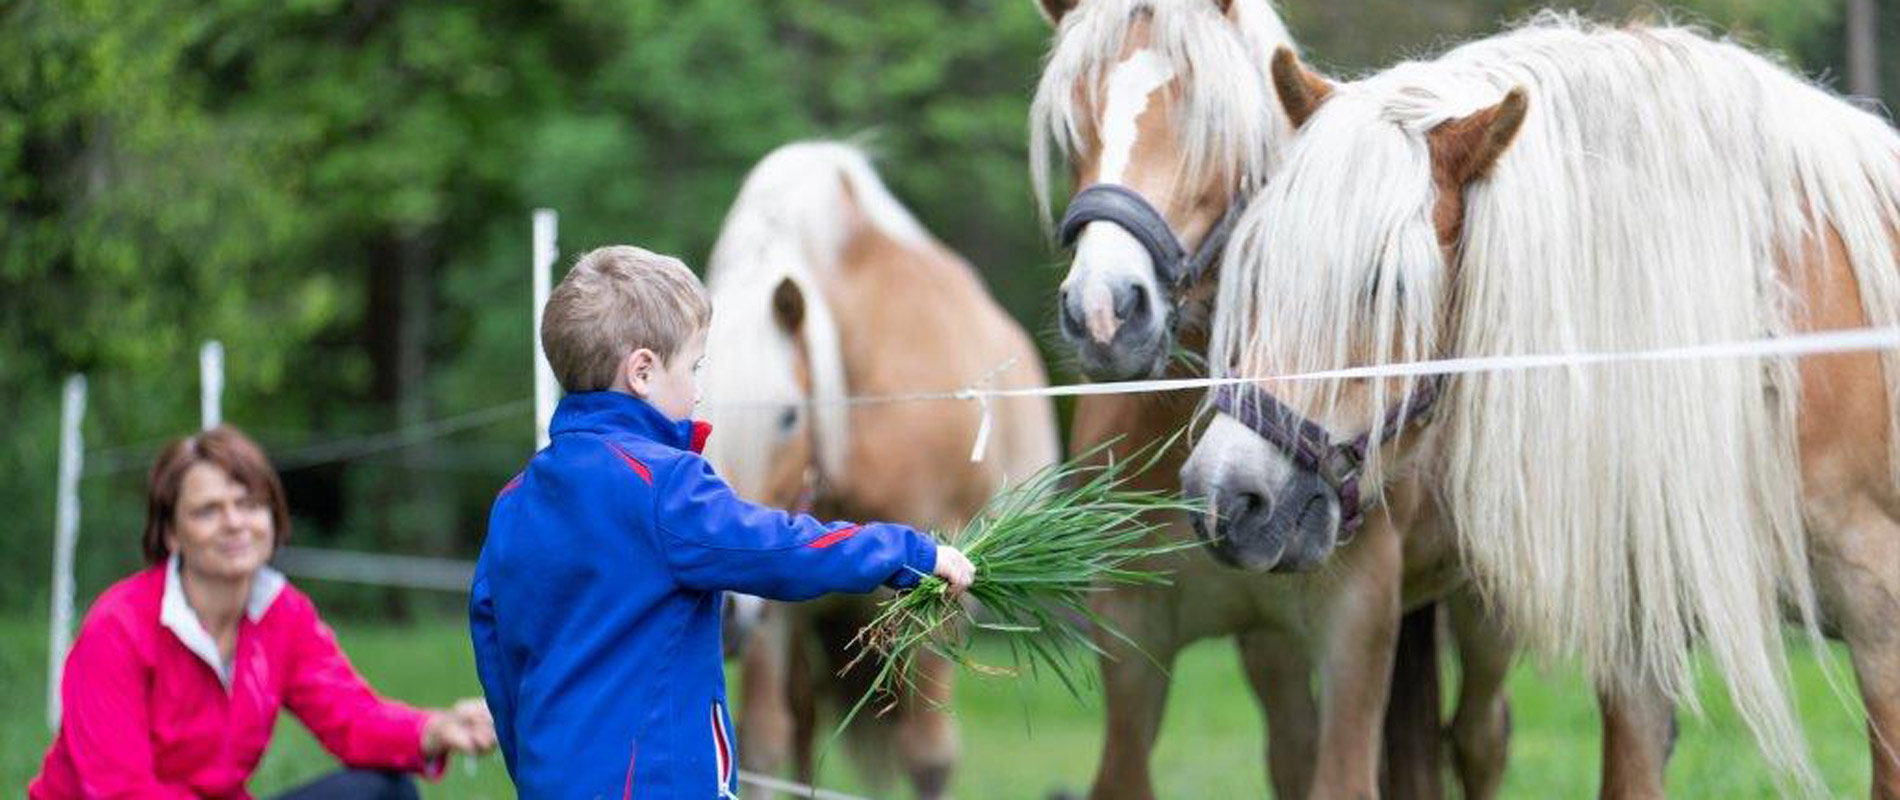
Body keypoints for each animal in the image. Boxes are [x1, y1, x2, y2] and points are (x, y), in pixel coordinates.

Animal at [1026, 1, 1512, 798]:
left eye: (1211, 121)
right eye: (1075, 124)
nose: (1105, 312)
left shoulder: (1354, 631)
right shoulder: (1133, 638)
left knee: (1481, 736)